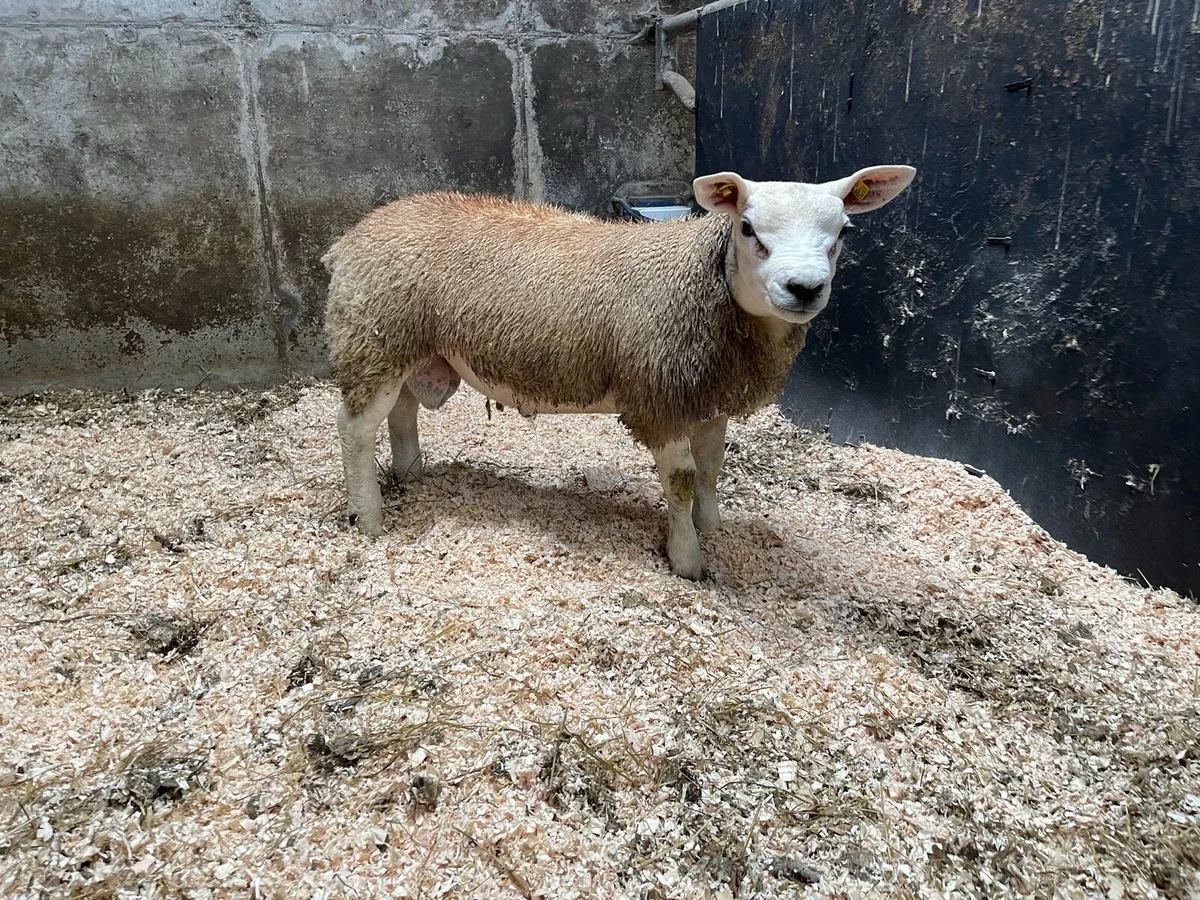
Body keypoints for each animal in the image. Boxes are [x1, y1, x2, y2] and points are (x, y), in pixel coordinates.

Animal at [321, 164, 916, 579]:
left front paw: (711, 525)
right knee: (354, 429)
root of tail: (353, 236)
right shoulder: (661, 397)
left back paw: (410, 475)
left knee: (400, 411)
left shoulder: (709, 395)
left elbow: (711, 467)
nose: (804, 288)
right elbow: (681, 480)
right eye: (747, 228)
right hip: (373, 337)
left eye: (844, 231)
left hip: (402, 347)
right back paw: (369, 519)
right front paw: (687, 559)